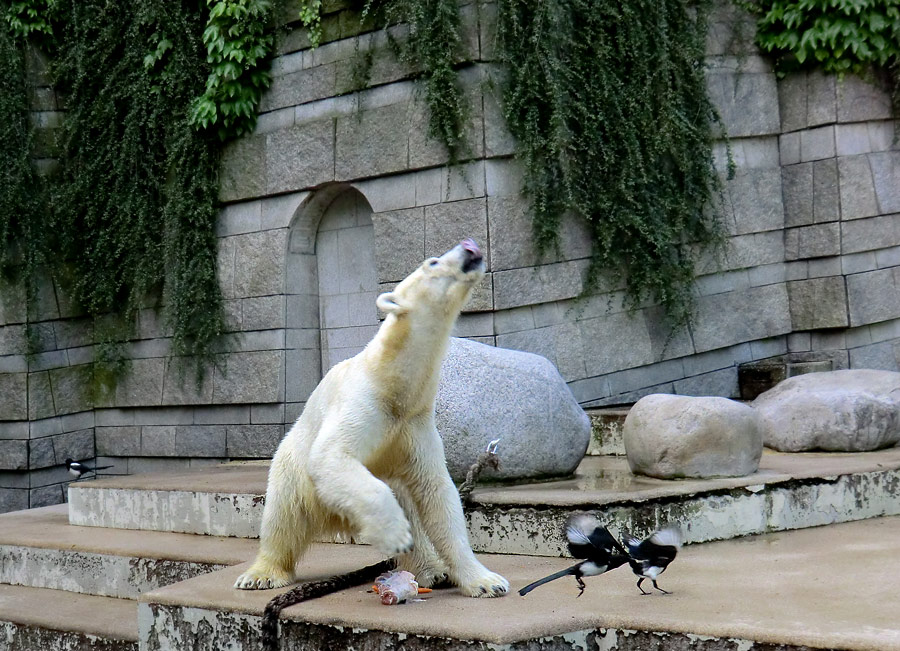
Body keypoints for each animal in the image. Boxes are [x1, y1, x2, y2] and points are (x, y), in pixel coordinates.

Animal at [234, 237, 506, 600]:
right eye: (432, 262)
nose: (470, 246)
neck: (392, 383)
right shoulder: (363, 402)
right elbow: (332, 456)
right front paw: (395, 534)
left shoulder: (415, 424)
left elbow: (437, 495)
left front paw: (487, 580)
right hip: (291, 466)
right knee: (283, 516)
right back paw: (260, 575)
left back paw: (433, 571)